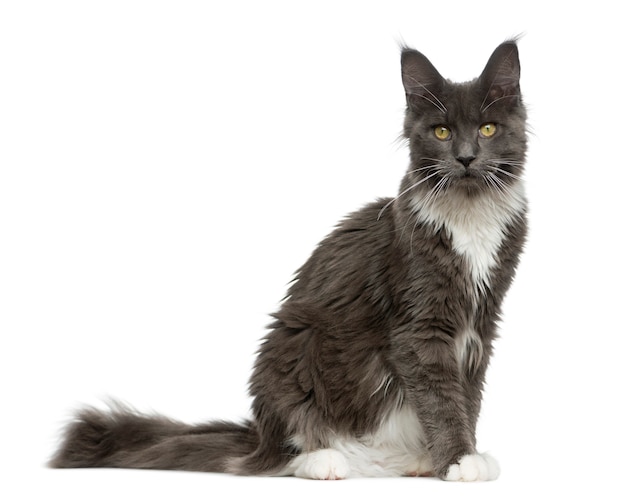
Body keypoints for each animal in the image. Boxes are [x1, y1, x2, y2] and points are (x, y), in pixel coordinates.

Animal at [50, 40, 528, 482]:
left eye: (487, 128)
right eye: (442, 132)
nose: (465, 157)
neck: (470, 216)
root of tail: (257, 437)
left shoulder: (481, 324)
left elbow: (467, 396)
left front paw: (460, 457)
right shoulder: (421, 326)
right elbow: (442, 398)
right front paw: (460, 460)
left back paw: (414, 461)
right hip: (292, 343)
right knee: (286, 452)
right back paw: (327, 461)